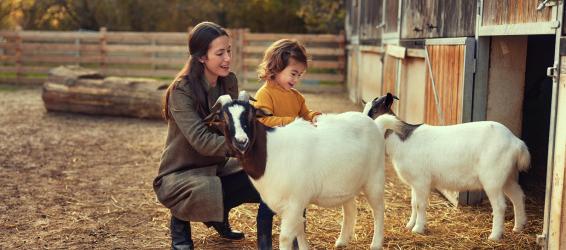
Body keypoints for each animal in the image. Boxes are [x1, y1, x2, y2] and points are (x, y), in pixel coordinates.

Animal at [364, 93, 532, 240]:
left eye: (373, 112)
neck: (402, 140)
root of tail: (517, 143)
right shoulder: (415, 183)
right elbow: (413, 203)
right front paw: (410, 225)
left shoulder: (421, 181)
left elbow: (420, 204)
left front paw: (418, 229)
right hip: (507, 176)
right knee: (517, 195)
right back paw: (518, 227)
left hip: (492, 178)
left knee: (499, 206)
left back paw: (494, 236)